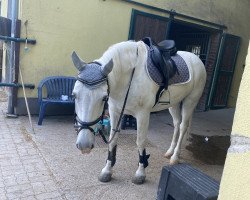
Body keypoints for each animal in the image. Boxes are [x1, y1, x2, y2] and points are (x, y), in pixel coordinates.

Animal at [71, 40, 206, 184]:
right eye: (74, 95)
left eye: (104, 98)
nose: (84, 145)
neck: (128, 76)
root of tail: (196, 58)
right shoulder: (115, 111)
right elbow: (113, 139)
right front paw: (107, 170)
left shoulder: (143, 115)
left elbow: (140, 141)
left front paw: (140, 173)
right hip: (174, 104)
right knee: (176, 124)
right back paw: (170, 151)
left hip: (190, 101)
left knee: (183, 126)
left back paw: (175, 157)